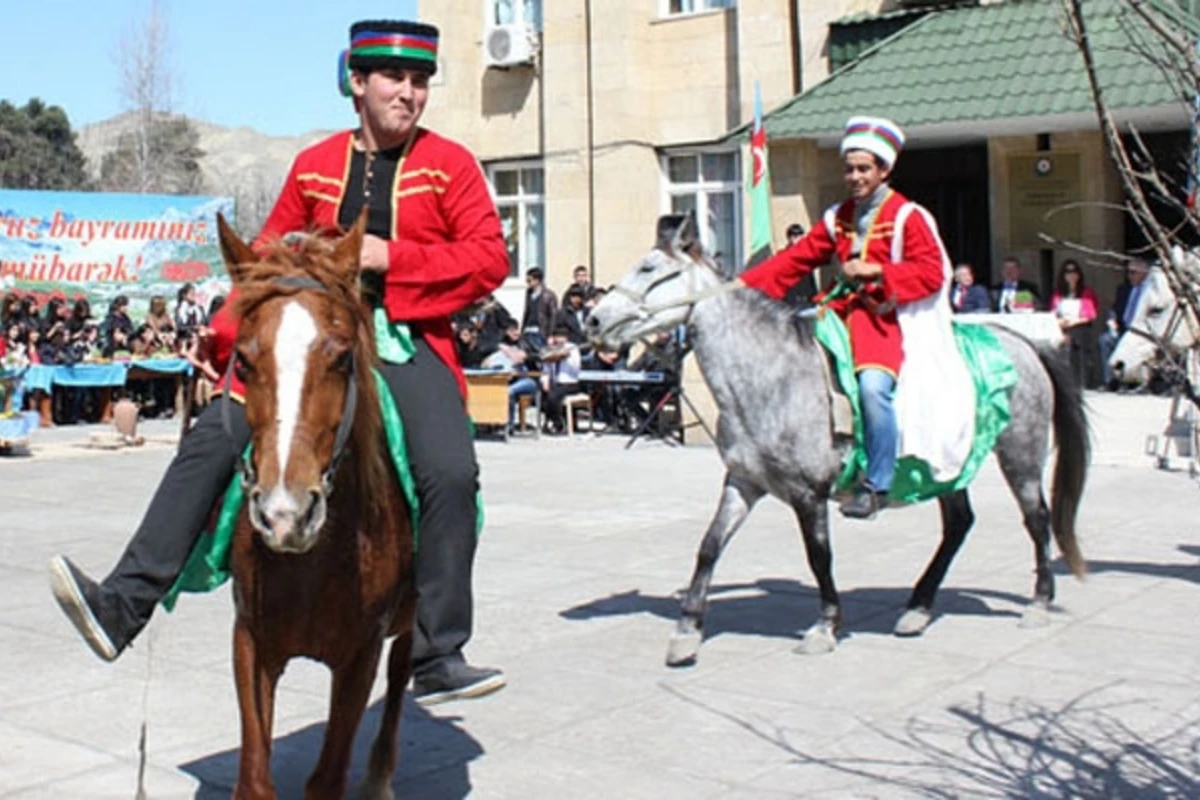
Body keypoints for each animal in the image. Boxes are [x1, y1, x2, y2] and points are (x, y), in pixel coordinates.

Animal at [216, 215, 417, 800]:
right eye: (243, 360)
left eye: (343, 357)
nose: (285, 514)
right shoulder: (251, 643)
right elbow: (254, 778)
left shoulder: (360, 656)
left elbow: (327, 778)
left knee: (402, 673)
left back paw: (379, 774)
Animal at [585, 215, 1094, 666]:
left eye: (650, 269)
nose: (592, 320)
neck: (770, 374)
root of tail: (1024, 344)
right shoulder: (743, 482)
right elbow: (710, 546)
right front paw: (686, 632)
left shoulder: (808, 492)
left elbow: (818, 556)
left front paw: (825, 626)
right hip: (946, 467)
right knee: (959, 524)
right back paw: (918, 608)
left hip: (1020, 454)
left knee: (1037, 520)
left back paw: (1037, 603)